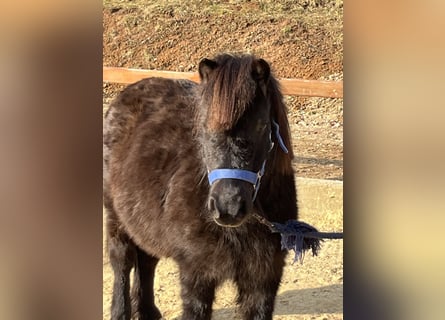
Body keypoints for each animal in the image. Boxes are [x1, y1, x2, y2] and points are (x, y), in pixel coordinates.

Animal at [102, 53, 300, 318]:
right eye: (206, 127)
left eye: (261, 126)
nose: (228, 207)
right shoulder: (197, 274)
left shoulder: (263, 279)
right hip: (115, 215)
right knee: (122, 261)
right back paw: (121, 311)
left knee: (146, 259)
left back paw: (147, 311)